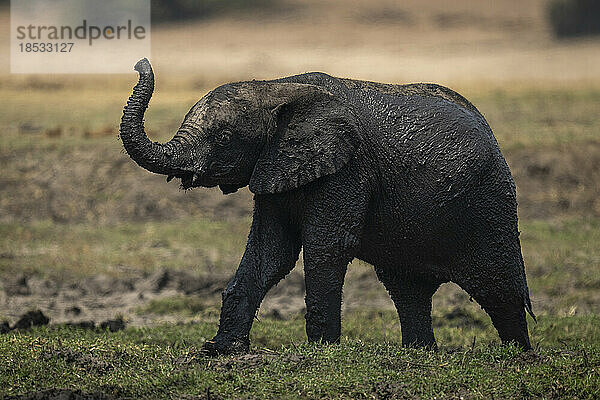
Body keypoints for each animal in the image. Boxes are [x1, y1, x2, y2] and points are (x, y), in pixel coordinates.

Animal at [118, 58, 536, 354]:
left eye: (222, 136)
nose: (140, 63)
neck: (276, 87)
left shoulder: (349, 168)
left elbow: (326, 246)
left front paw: (320, 349)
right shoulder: (275, 169)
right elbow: (271, 254)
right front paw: (221, 351)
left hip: (490, 202)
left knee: (501, 290)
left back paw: (519, 355)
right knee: (407, 289)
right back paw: (420, 353)